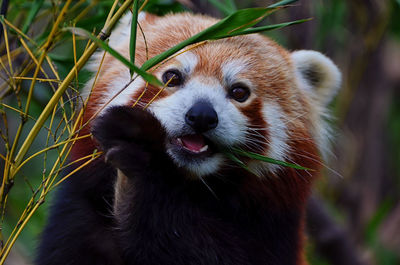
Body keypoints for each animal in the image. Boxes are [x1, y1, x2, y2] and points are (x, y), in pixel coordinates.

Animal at [36, 11, 340, 264]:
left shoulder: (269, 229)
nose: (202, 115)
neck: (187, 183)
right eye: (172, 77)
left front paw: (140, 157)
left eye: (239, 92)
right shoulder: (80, 208)